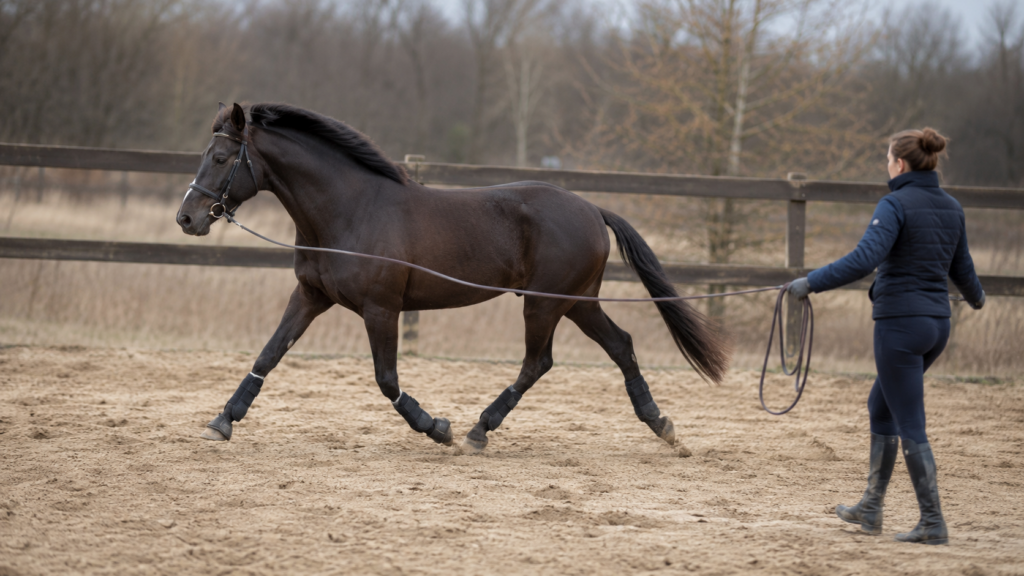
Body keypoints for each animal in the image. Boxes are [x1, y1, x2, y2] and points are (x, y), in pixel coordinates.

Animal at [176, 102, 729, 454]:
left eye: (221, 158)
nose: (186, 218)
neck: (351, 211)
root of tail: (593, 209)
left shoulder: (381, 309)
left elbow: (386, 379)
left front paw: (436, 427)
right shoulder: (311, 295)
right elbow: (268, 354)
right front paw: (222, 421)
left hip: (544, 303)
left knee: (539, 362)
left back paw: (478, 430)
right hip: (577, 302)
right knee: (620, 345)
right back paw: (662, 426)